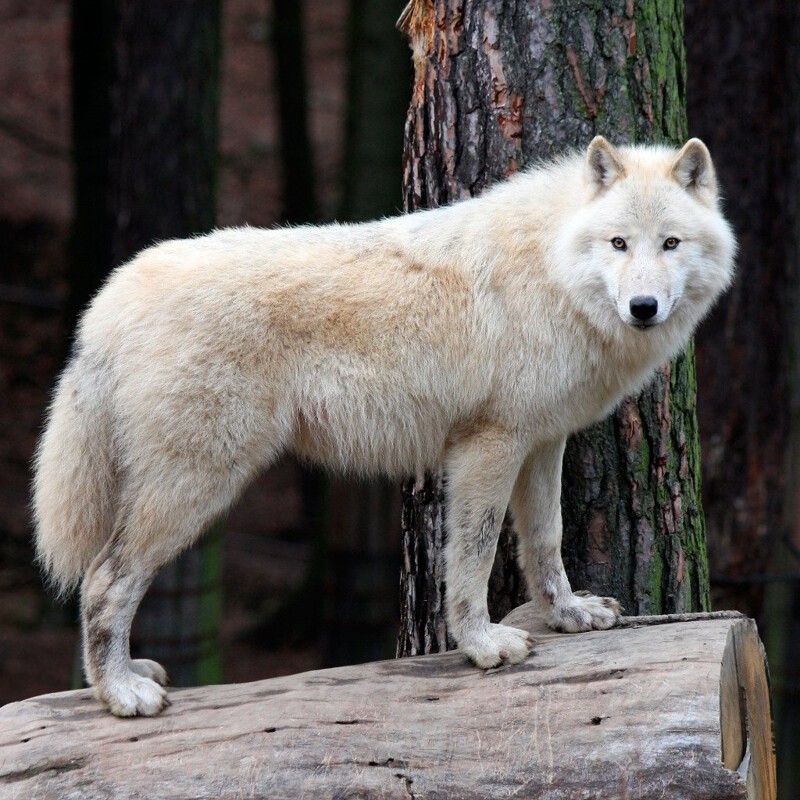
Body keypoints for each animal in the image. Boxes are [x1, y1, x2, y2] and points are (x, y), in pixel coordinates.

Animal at [34, 138, 736, 720]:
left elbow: (546, 540)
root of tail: (111, 298)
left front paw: (568, 615)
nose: (643, 307)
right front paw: (482, 645)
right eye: (619, 244)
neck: (552, 268)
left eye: (670, 244)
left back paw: (125, 676)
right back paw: (120, 693)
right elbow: (475, 555)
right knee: (103, 581)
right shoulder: (488, 446)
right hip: (196, 487)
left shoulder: (541, 441)